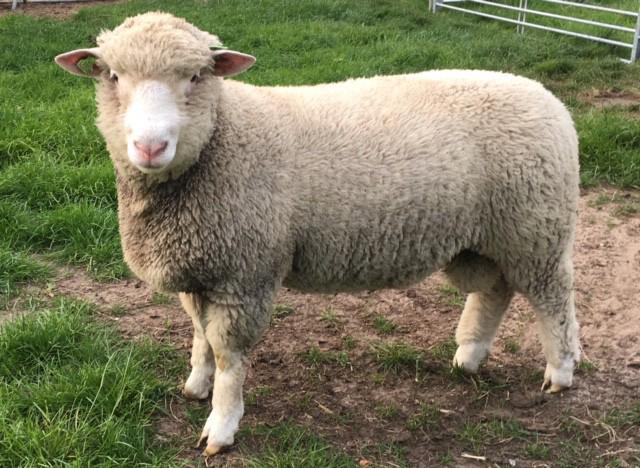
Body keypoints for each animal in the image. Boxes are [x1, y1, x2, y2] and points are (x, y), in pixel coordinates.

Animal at [55, 12, 581, 456]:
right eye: (112, 76)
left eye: (197, 76)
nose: (150, 146)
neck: (221, 139)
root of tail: (546, 97)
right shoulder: (203, 267)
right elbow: (201, 338)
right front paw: (196, 386)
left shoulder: (244, 274)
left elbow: (228, 355)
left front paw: (221, 427)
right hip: (489, 238)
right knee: (495, 291)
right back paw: (469, 356)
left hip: (537, 228)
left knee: (553, 299)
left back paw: (560, 372)